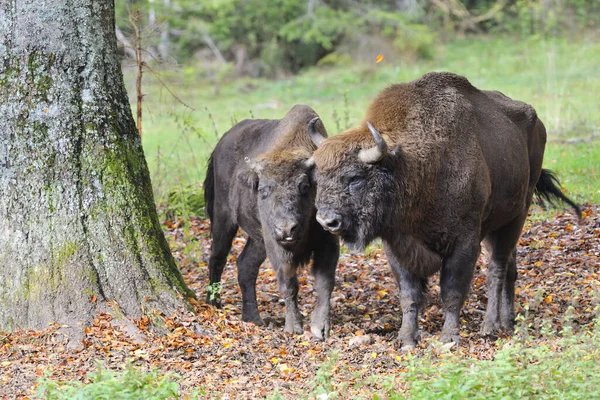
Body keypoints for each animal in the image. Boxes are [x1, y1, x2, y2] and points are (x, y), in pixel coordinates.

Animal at [204, 104, 340, 340]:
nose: (286, 229)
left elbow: (325, 283)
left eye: (304, 186)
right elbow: (289, 283)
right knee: (217, 258)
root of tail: (220, 145)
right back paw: (214, 303)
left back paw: (252, 318)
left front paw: (320, 327)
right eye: (264, 189)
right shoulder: (277, 245)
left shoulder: (329, 241)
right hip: (224, 219)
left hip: (259, 239)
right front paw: (293, 327)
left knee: (245, 265)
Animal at [308, 72, 580, 346]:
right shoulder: (396, 245)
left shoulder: (464, 242)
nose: (327, 221)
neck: (412, 165)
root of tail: (538, 123)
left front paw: (449, 337)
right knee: (510, 269)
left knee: (497, 270)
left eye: (355, 178)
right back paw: (508, 321)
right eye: (318, 178)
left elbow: (452, 290)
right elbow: (409, 294)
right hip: (497, 226)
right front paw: (407, 339)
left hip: (517, 216)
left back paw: (490, 325)